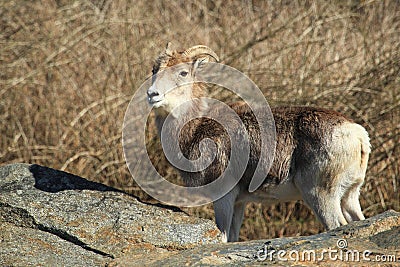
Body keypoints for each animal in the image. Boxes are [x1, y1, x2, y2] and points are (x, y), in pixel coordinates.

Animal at [145, 43, 370, 242]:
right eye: (155, 69)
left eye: (183, 73)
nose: (152, 94)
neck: (197, 126)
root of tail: (357, 135)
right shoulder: (239, 203)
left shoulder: (223, 198)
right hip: (349, 196)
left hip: (321, 196)